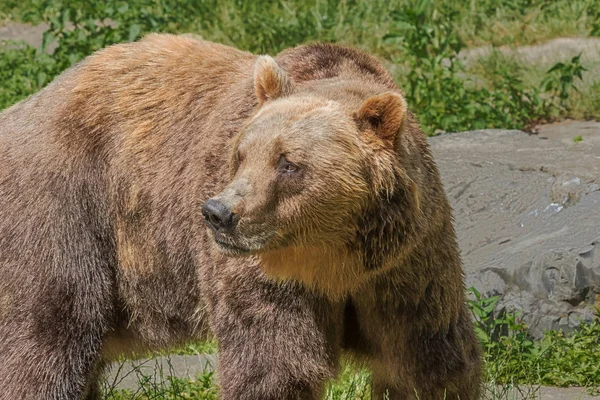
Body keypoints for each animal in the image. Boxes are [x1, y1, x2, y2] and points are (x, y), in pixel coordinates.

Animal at [0, 34, 480, 400]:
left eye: (288, 163)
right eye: (241, 154)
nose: (218, 213)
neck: (335, 259)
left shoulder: (406, 265)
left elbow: (427, 359)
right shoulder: (266, 273)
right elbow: (272, 363)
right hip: (66, 208)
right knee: (51, 335)